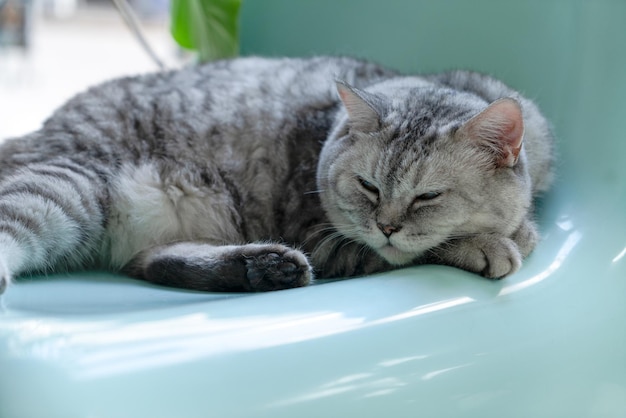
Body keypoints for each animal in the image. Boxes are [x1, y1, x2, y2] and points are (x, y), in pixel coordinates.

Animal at [0, 56, 552, 294]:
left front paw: (516, 230)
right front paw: (494, 242)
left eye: (428, 196)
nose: (388, 225)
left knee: (150, 262)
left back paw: (263, 267)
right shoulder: (321, 234)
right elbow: (413, 252)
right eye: (368, 187)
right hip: (70, 185)